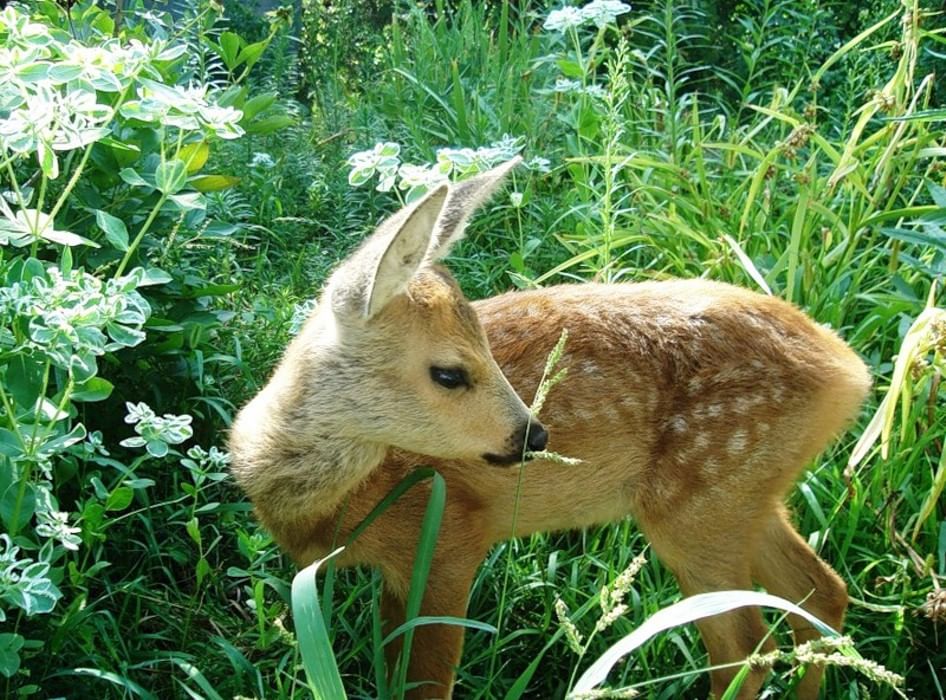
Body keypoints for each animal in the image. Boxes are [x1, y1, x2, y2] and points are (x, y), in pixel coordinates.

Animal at [230, 159, 872, 700]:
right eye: (449, 372)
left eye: (486, 349)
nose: (534, 436)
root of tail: (848, 372)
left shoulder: (449, 536)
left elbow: (425, 685)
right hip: (744, 498)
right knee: (821, 594)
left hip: (699, 506)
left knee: (746, 651)